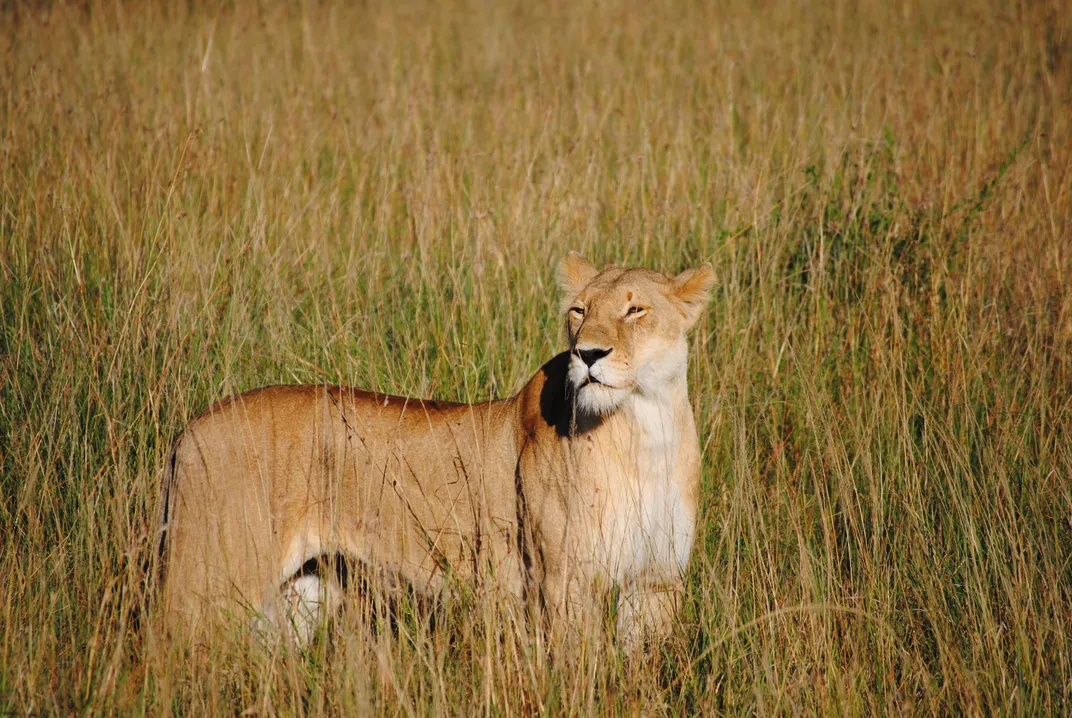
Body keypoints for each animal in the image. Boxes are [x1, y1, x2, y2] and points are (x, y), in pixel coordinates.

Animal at [157, 253, 713, 651]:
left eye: (635, 309)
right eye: (579, 312)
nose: (588, 354)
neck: (646, 429)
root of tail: (190, 429)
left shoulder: (658, 582)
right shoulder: (564, 581)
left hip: (300, 595)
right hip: (211, 579)